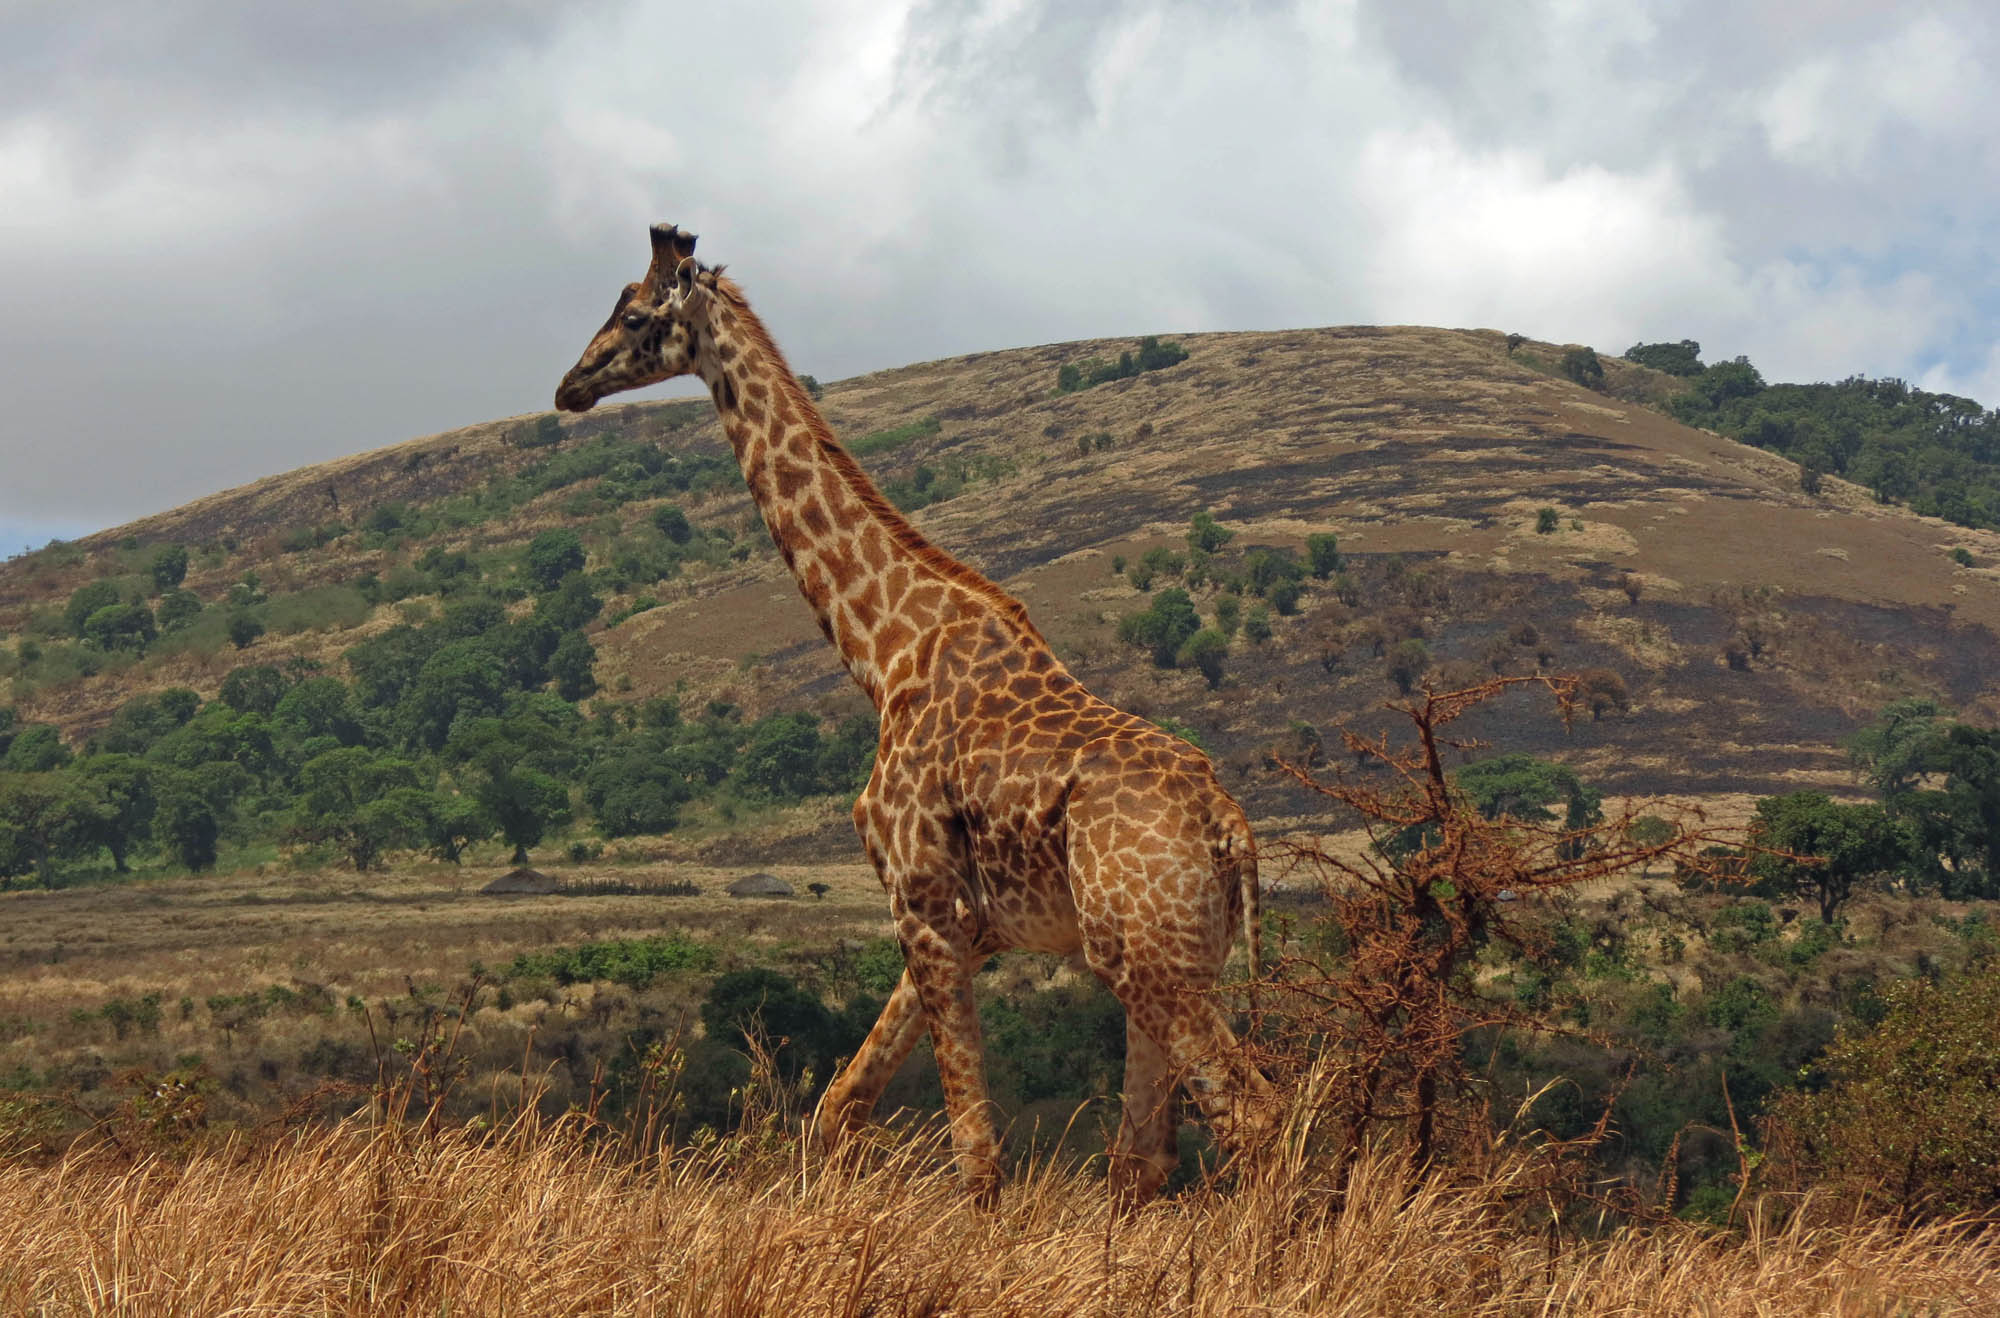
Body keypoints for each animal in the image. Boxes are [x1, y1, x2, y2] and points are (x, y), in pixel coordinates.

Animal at [556, 227, 1272, 1208]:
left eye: (632, 316)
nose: (569, 384)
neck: (884, 650)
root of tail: (1229, 827)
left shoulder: (924, 900)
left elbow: (975, 1149)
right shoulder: (966, 927)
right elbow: (836, 1109)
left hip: (1150, 957)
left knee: (1250, 1114)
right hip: (1163, 955)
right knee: (1144, 1156)